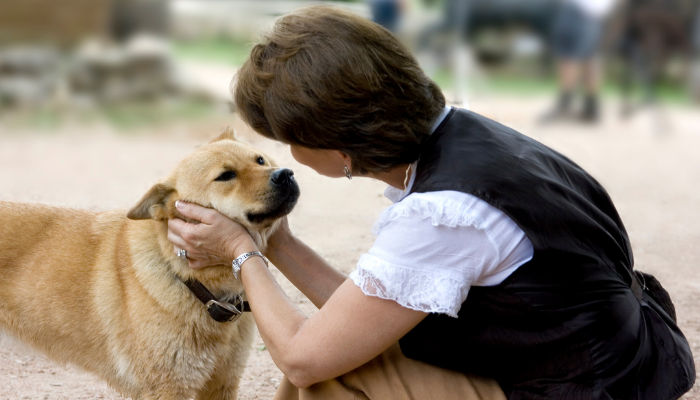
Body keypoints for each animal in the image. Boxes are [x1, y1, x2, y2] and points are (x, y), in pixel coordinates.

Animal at [0, 126, 298, 398]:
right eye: (225, 176)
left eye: (260, 160)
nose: (285, 174)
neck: (189, 280)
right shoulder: (168, 388)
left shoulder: (222, 384)